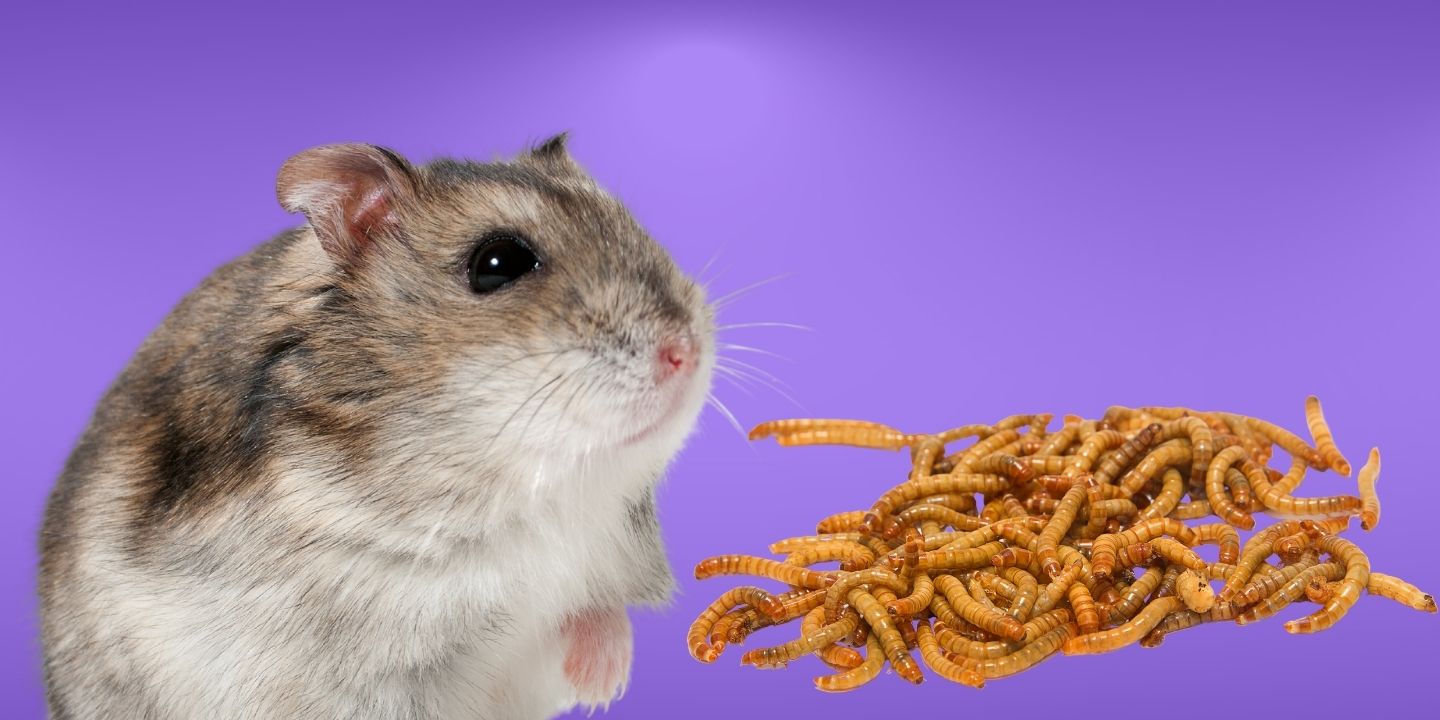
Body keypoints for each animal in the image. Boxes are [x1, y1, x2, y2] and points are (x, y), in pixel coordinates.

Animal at [38, 135, 715, 719]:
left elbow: (589, 619)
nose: (684, 351)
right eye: (498, 263)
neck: (516, 495)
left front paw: (605, 679)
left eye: (630, 225)